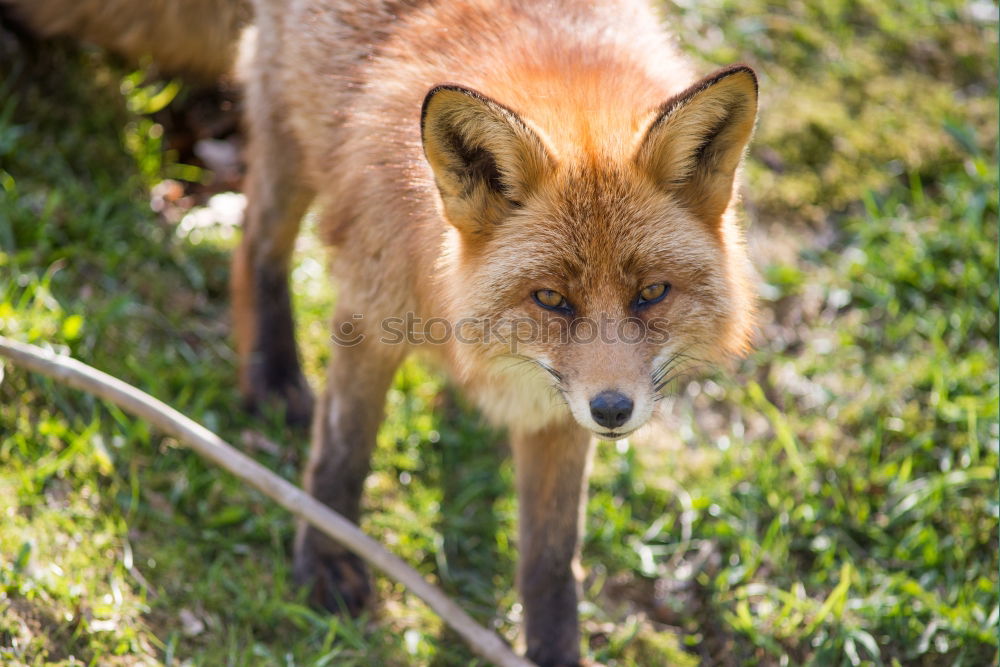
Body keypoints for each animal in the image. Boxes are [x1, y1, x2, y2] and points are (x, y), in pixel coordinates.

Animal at [5, 1, 756, 664]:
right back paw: (272, 373)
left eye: (651, 293)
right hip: (288, 132)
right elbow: (342, 453)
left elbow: (550, 559)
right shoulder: (370, 311)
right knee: (254, 247)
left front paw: (552, 652)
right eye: (551, 299)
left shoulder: (558, 407)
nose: (614, 410)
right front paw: (326, 559)